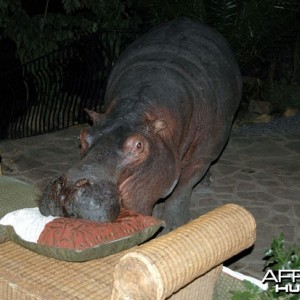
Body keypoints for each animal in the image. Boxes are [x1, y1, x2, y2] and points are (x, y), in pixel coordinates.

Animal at [38, 17, 243, 232]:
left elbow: (182, 190)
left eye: (138, 145)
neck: (134, 112)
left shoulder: (200, 158)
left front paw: (174, 226)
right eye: (83, 135)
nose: (67, 187)